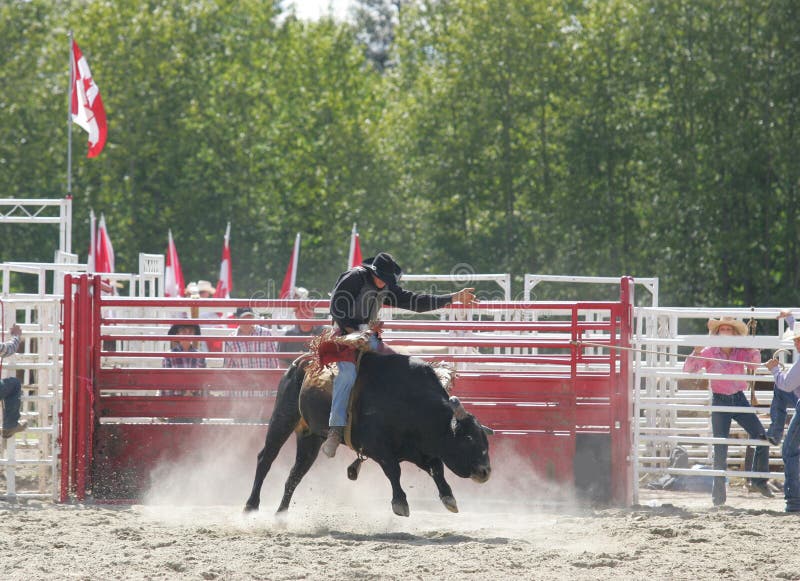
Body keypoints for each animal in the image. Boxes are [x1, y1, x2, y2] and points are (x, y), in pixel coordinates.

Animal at [244, 348, 494, 516]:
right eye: (468, 438)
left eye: (484, 441)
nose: (485, 472)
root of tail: (300, 362)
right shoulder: (378, 447)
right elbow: (393, 470)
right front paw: (400, 502)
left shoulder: (417, 450)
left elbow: (437, 468)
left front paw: (449, 497)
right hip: (283, 418)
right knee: (266, 458)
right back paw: (251, 506)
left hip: (311, 437)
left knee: (296, 473)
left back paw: (281, 515)